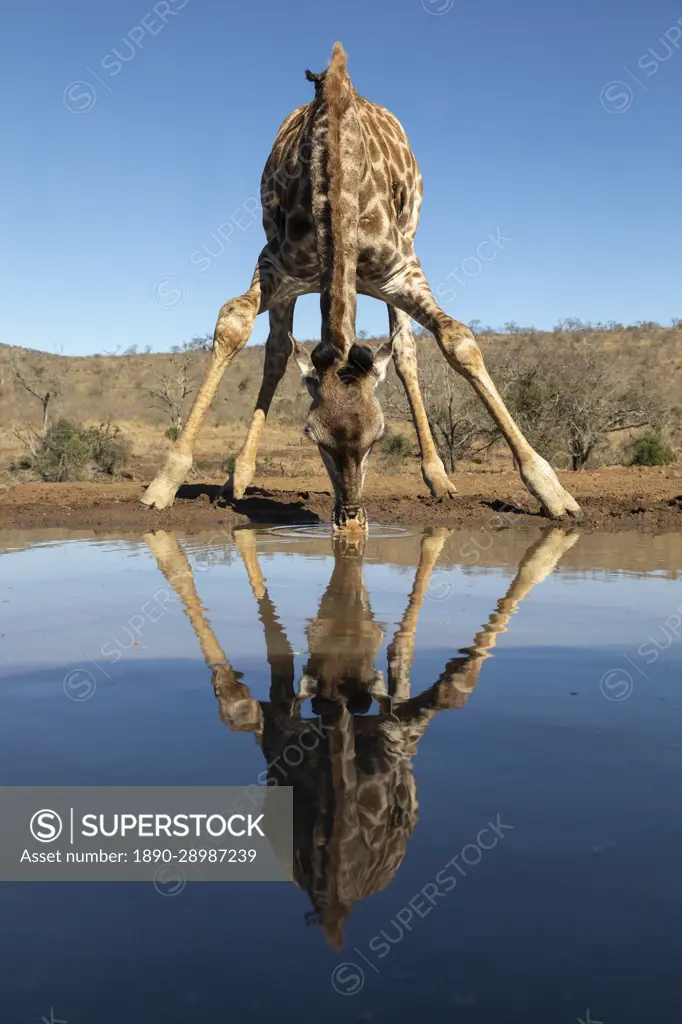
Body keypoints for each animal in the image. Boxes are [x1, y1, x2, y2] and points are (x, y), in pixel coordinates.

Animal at [142, 44, 577, 532]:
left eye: (379, 435)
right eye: (312, 435)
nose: (350, 517)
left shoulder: (401, 270)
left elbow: (458, 340)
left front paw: (553, 492)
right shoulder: (275, 264)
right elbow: (233, 324)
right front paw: (164, 482)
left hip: (406, 248)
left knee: (405, 352)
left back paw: (439, 479)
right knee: (277, 351)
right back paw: (240, 476)